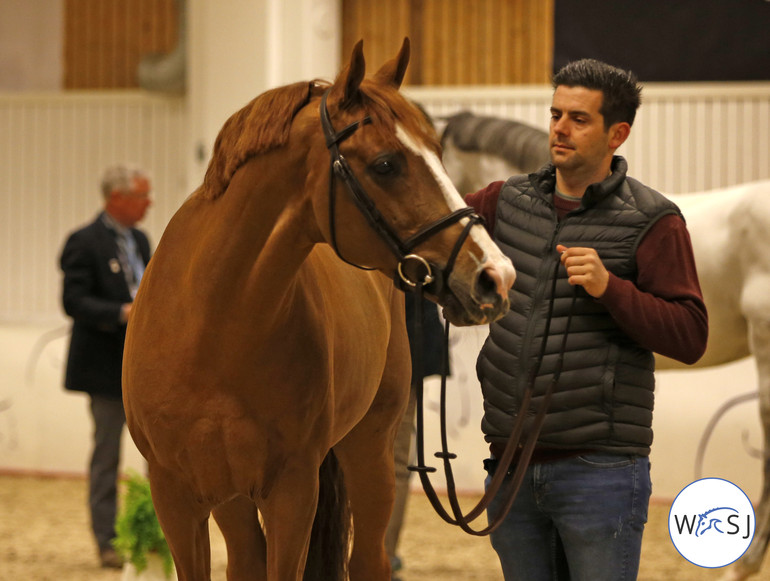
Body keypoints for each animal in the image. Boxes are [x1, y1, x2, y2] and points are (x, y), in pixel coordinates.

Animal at [123, 40, 512, 580]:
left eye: (438, 154)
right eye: (386, 164)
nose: (494, 274)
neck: (211, 325)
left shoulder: (293, 491)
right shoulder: (176, 497)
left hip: (370, 449)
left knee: (369, 558)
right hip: (232, 496)